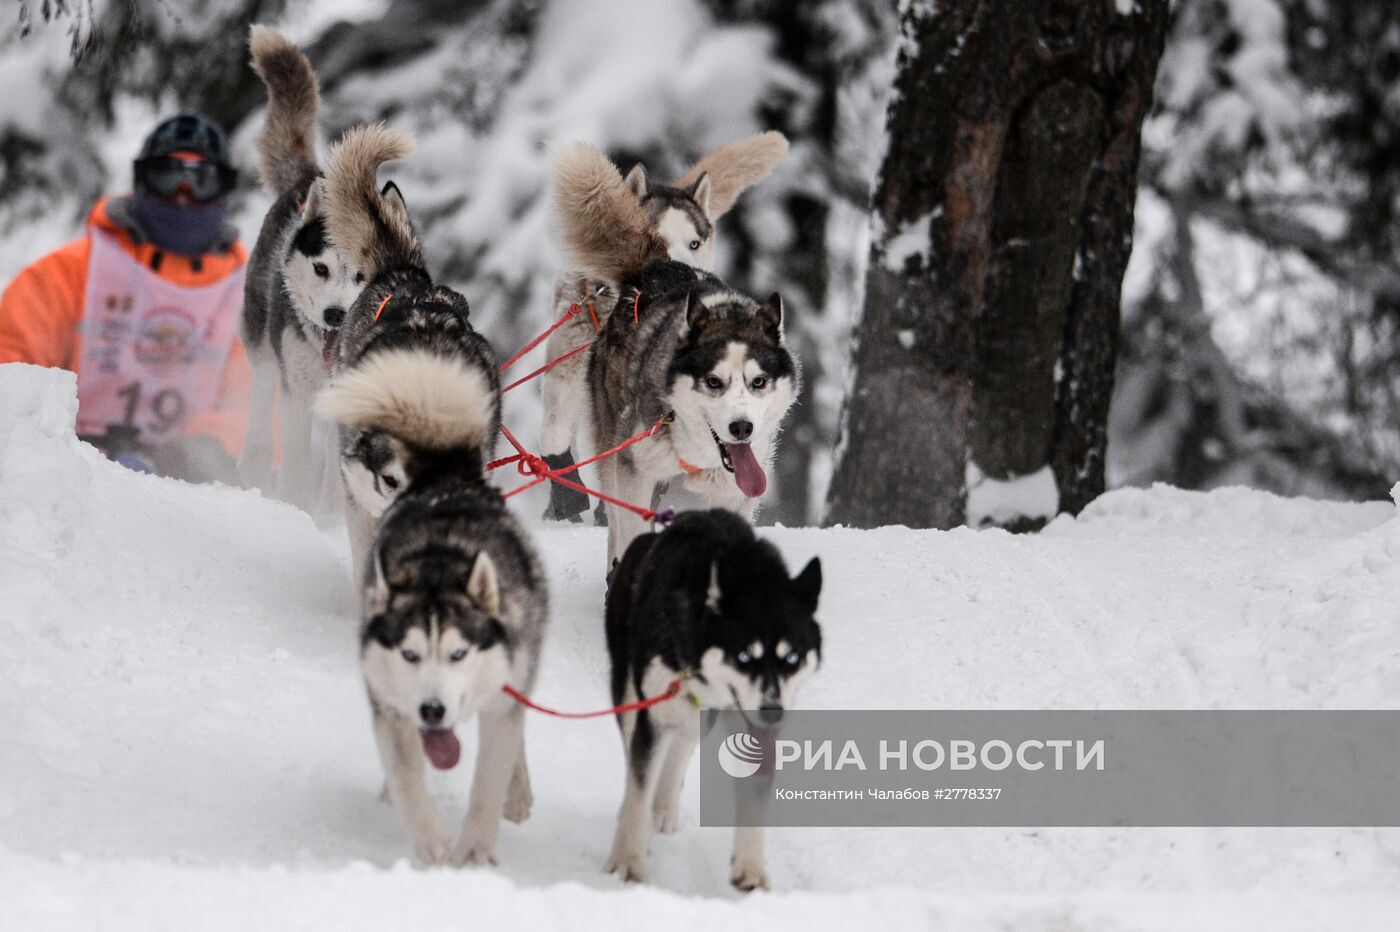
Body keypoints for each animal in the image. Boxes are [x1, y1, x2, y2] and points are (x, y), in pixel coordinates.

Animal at [238, 25, 364, 512]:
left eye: (361, 274)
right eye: (322, 269)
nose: (335, 315)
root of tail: (310, 174)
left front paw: (327, 515)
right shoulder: (296, 394)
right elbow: (295, 460)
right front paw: (296, 509)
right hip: (261, 344)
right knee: (259, 402)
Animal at [551, 141, 806, 562]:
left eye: (758, 382)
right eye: (713, 381)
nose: (742, 428)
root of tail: (656, 267)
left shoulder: (735, 491)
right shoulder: (633, 470)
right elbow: (629, 529)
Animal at [602, 509, 817, 884]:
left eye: (792, 658)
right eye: (744, 655)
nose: (772, 711)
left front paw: (750, 868)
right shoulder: (653, 715)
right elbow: (638, 787)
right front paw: (629, 861)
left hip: (696, 717)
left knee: (679, 750)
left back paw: (664, 809)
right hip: (632, 697)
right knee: (635, 760)